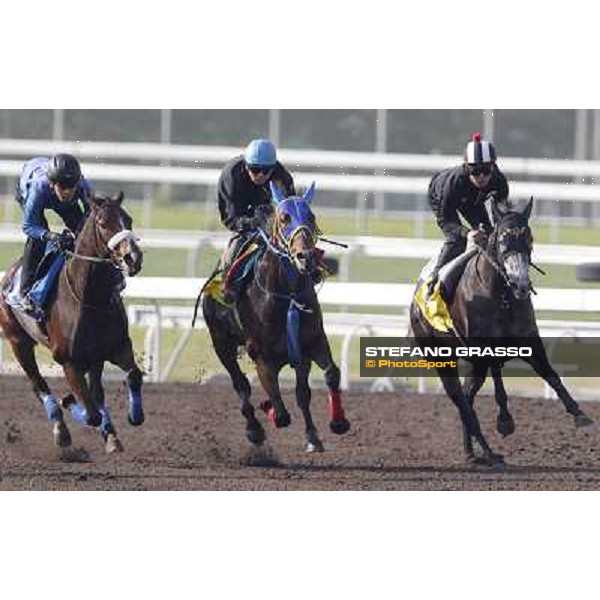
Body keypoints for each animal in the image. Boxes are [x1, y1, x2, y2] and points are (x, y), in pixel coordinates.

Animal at [0, 193, 145, 454]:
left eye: (128, 219)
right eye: (102, 223)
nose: (133, 258)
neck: (91, 298)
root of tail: (9, 274)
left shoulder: (117, 347)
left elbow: (134, 375)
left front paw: (132, 417)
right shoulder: (68, 361)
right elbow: (91, 414)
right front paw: (69, 403)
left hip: (94, 358)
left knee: (95, 392)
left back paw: (108, 433)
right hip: (18, 342)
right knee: (39, 386)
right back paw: (61, 430)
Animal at [202, 180, 352, 452]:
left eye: (311, 216)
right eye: (284, 218)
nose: (306, 256)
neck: (286, 296)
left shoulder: (311, 344)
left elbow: (328, 376)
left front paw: (333, 425)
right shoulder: (262, 356)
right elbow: (281, 413)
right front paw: (268, 409)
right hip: (221, 343)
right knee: (241, 385)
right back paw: (254, 428)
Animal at [410, 199, 592, 466]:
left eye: (529, 238)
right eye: (503, 239)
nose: (521, 284)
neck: (501, 296)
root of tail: (414, 304)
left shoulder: (529, 340)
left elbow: (551, 374)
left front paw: (579, 413)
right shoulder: (485, 348)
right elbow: (499, 385)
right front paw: (505, 420)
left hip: (474, 367)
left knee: (468, 398)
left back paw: (472, 452)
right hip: (442, 359)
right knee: (461, 401)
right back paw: (488, 452)